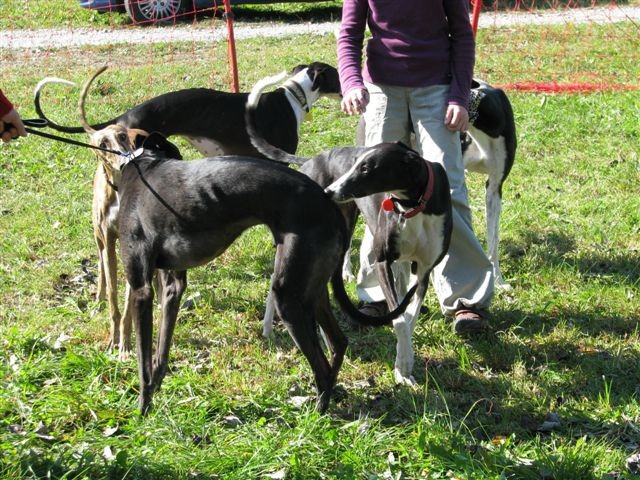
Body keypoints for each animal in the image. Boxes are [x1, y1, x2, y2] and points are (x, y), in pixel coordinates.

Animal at [248, 73, 452, 384]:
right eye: (357, 163)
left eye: (367, 168)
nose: (330, 191)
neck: (413, 205)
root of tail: (312, 159)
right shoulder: (383, 261)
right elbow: (399, 319)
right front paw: (403, 366)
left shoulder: (425, 269)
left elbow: (409, 316)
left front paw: (404, 360)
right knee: (277, 281)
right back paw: (270, 327)